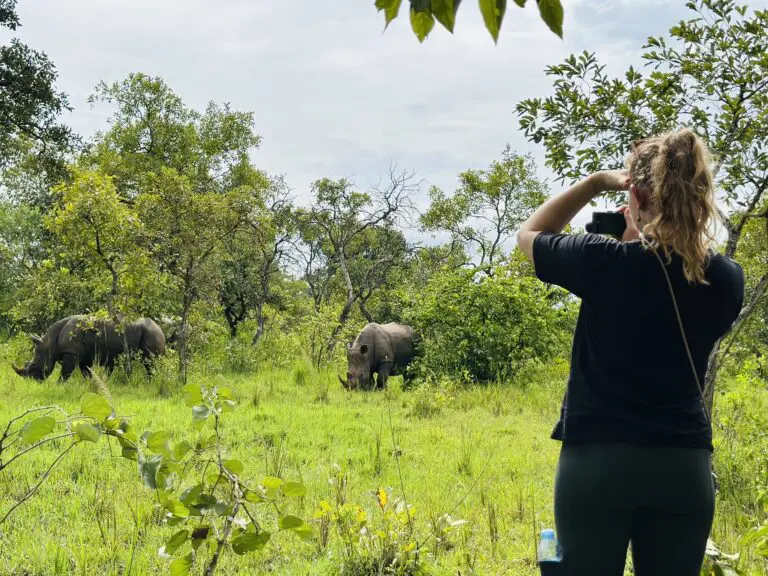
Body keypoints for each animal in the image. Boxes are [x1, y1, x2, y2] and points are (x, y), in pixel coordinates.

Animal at [13, 315, 166, 381]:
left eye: (34, 364)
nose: (30, 381)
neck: (49, 342)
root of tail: (160, 327)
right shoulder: (83, 356)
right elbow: (86, 372)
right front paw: (91, 384)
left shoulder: (71, 352)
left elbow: (66, 372)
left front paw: (58, 385)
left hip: (151, 332)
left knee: (149, 361)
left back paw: (149, 383)